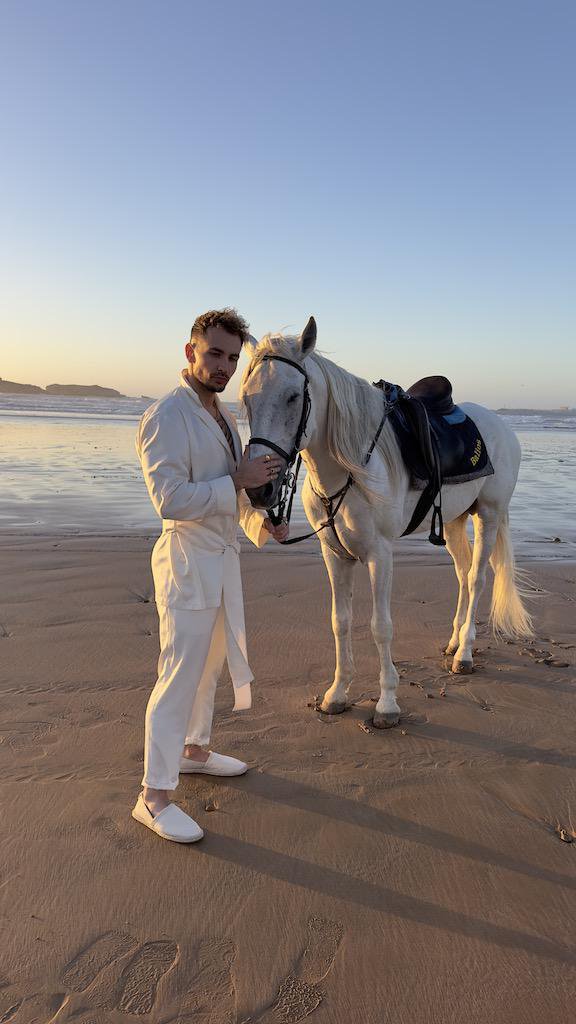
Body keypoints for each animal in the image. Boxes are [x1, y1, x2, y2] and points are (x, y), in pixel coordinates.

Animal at [239, 315, 532, 724]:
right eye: (247, 398)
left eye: (294, 396)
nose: (259, 489)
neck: (350, 466)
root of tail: (501, 425)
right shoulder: (334, 554)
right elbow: (340, 621)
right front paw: (337, 693)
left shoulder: (380, 554)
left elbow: (380, 627)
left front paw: (387, 703)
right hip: (455, 520)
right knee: (462, 573)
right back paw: (454, 641)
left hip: (488, 515)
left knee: (476, 578)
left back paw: (465, 654)